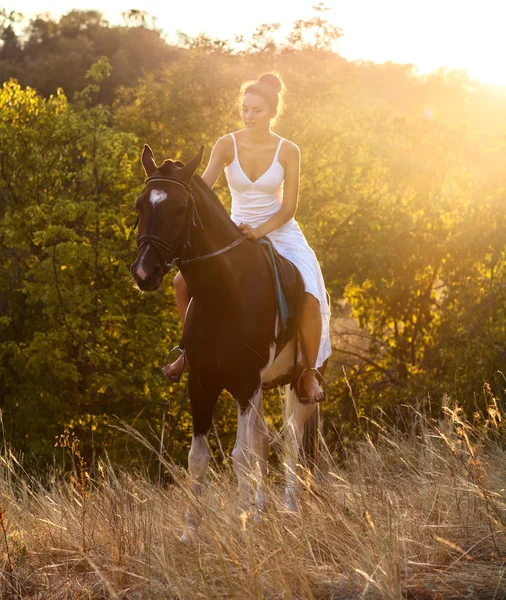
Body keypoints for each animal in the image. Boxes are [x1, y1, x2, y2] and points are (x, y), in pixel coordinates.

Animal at [130, 145, 326, 544]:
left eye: (179, 208)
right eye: (140, 205)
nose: (144, 273)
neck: (225, 292)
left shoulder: (245, 382)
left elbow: (240, 454)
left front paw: (244, 523)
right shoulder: (202, 382)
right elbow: (199, 457)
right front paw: (191, 531)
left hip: (297, 385)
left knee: (290, 441)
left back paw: (289, 508)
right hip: (262, 386)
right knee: (265, 439)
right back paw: (264, 508)